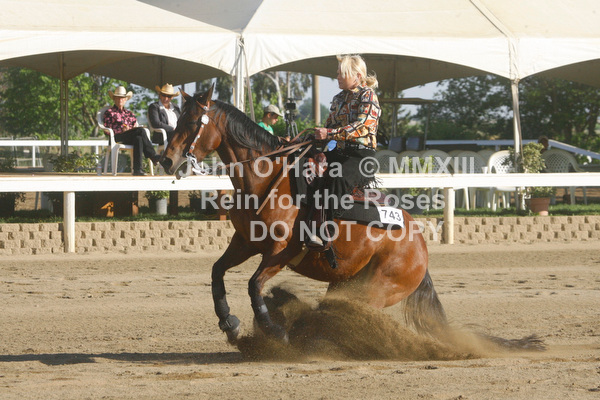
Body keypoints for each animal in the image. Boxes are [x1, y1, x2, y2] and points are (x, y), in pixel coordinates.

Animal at [159, 85, 448, 343]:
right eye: (178, 118)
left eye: (192, 121)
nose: (166, 160)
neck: (265, 183)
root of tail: (420, 246)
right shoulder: (244, 242)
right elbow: (217, 272)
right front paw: (229, 323)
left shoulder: (281, 251)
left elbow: (254, 285)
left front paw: (274, 331)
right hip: (345, 282)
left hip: (375, 290)